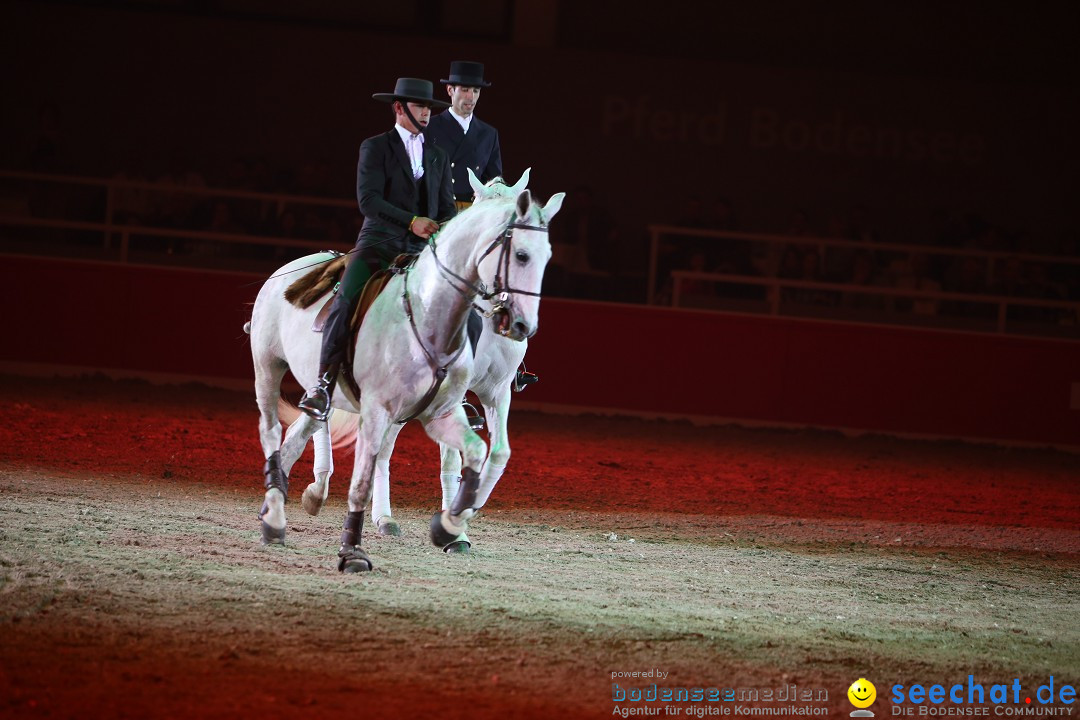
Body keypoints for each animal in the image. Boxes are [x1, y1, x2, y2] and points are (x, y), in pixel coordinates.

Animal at [247, 183, 565, 569]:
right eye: (520, 255)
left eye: (546, 258)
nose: (521, 325)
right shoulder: (389, 407)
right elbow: (404, 467)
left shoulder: (489, 395)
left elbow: (493, 453)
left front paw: (456, 521)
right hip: (270, 368)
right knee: (278, 430)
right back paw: (297, 507)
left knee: (302, 435)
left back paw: (298, 501)